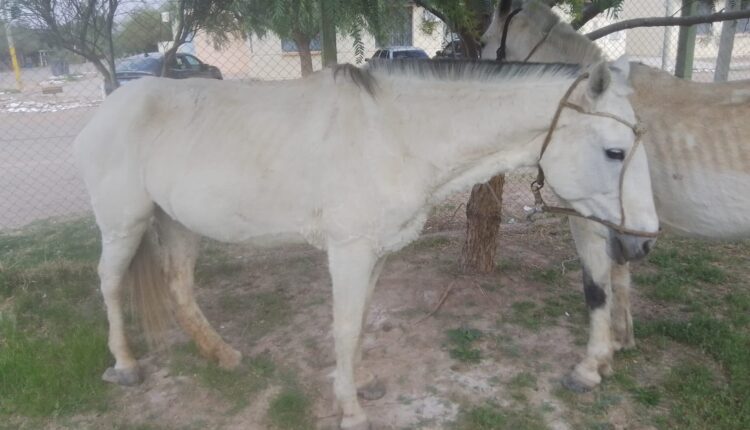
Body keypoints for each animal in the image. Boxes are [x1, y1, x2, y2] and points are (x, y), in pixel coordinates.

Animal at [74, 59, 657, 429]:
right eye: (614, 151)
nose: (642, 245)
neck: (397, 134)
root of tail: (110, 105)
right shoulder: (349, 250)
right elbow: (345, 325)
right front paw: (350, 410)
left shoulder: (375, 252)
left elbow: (360, 324)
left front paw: (363, 382)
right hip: (125, 224)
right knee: (109, 284)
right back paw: (125, 365)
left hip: (176, 223)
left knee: (179, 287)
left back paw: (222, 355)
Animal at [481, 0, 750, 391]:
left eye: (484, 42)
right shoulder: (623, 225)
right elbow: (620, 278)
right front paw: (619, 342)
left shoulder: (587, 219)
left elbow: (596, 288)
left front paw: (591, 366)